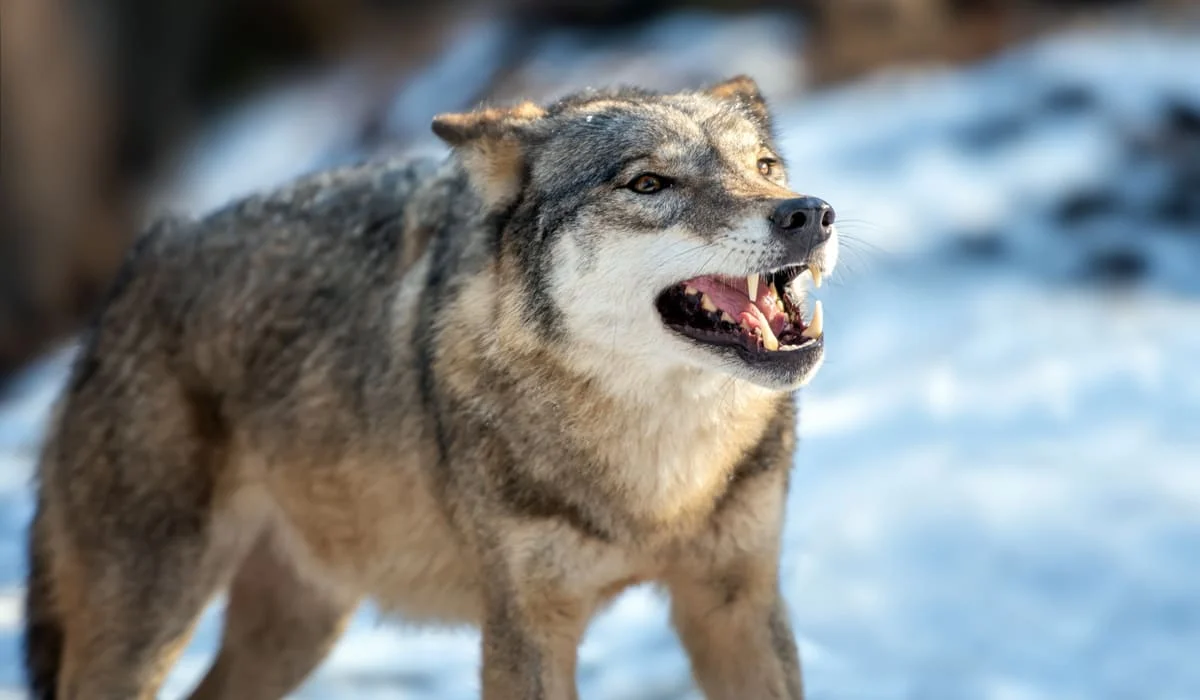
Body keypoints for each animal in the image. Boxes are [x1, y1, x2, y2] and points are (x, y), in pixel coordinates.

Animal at [25, 73, 835, 696]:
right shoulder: (523, 628)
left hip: (299, 627)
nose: (810, 213)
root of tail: (137, 265)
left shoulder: (737, 603)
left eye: (765, 166)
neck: (660, 484)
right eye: (648, 183)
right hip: (148, 626)